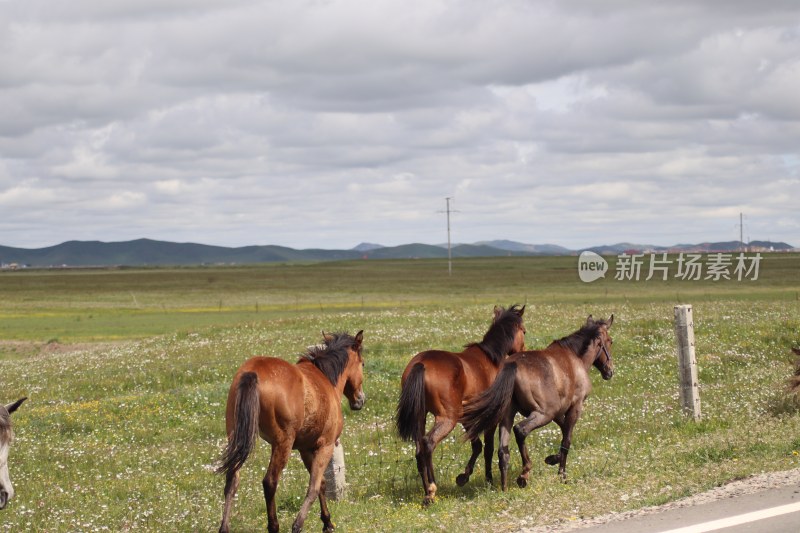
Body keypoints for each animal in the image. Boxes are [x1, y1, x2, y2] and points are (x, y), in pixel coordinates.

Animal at [216, 330, 366, 528]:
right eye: (362, 363)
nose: (360, 400)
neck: (325, 378)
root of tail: (252, 372)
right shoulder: (325, 446)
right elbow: (314, 486)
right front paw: (300, 525)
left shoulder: (305, 448)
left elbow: (322, 483)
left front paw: (327, 522)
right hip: (282, 444)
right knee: (270, 482)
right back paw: (274, 526)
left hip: (236, 438)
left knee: (232, 480)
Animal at [396, 304, 528, 502]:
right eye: (524, 331)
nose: (523, 350)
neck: (491, 358)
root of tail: (421, 364)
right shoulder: (489, 418)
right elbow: (487, 449)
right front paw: (488, 481)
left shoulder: (468, 417)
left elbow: (477, 446)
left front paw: (463, 477)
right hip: (447, 419)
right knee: (428, 443)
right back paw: (432, 489)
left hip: (421, 416)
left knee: (419, 450)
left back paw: (427, 492)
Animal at [460, 316, 616, 490]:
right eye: (610, 341)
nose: (610, 371)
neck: (575, 358)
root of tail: (512, 365)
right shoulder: (574, 407)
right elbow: (567, 440)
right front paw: (562, 475)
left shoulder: (558, 412)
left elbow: (563, 431)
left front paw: (552, 459)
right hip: (543, 414)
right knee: (520, 430)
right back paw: (524, 474)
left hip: (508, 415)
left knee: (502, 450)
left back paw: (503, 487)